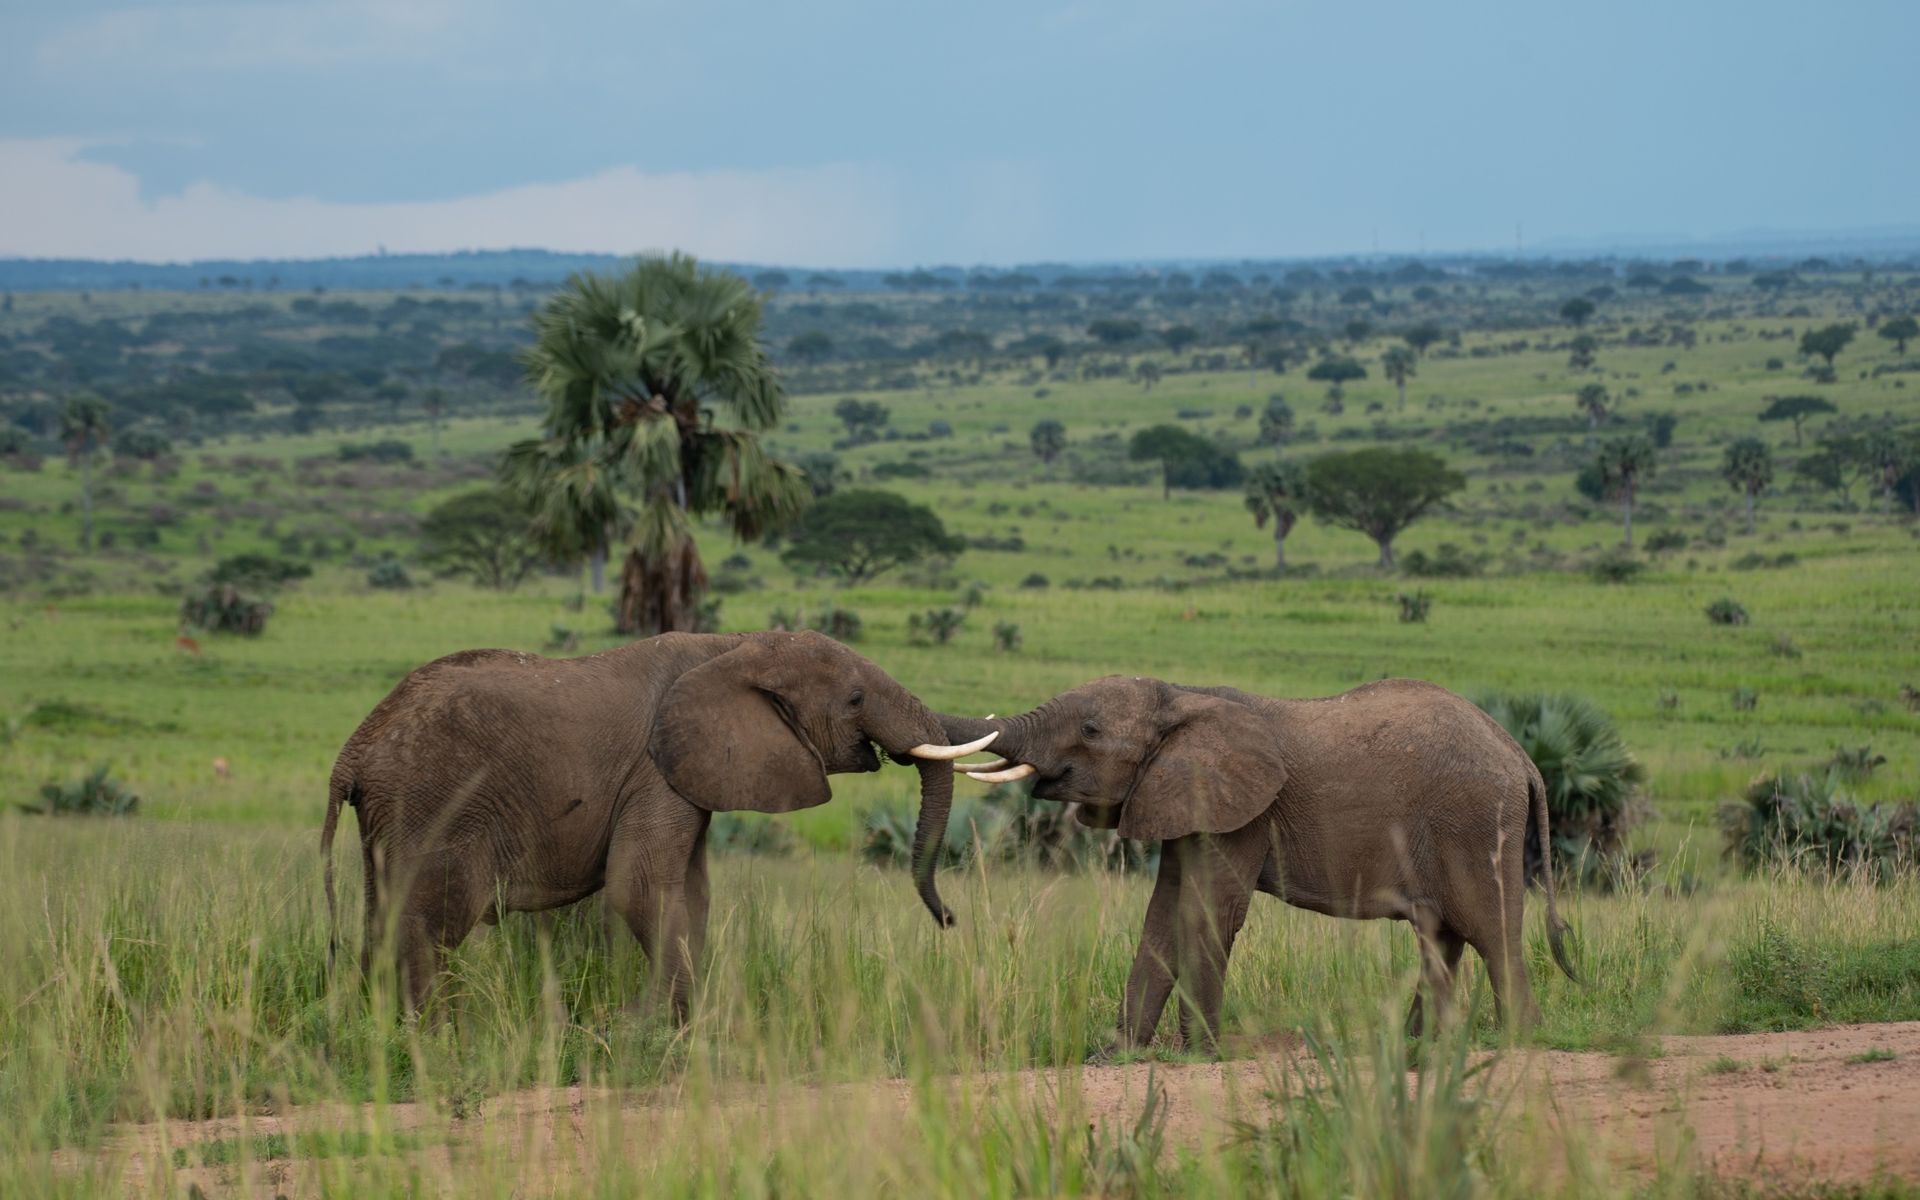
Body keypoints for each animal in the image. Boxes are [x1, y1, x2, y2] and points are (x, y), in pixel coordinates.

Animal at [321, 630, 994, 1015]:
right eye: (855, 699)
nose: (951, 919)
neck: (733, 643)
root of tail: (351, 752)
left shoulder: (683, 776)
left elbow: (691, 895)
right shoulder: (653, 771)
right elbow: (641, 888)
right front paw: (661, 1030)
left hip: (392, 817)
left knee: (382, 914)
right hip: (432, 805)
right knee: (430, 919)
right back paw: (430, 1038)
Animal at [936, 675, 1576, 1055]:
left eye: (1090, 730)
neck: (1182, 697)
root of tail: (1520, 753)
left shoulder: (1243, 812)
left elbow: (1207, 913)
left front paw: (1201, 1053)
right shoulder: (1183, 798)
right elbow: (1162, 916)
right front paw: (1120, 1052)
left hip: (1475, 821)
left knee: (1490, 932)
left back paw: (1516, 1040)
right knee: (1440, 936)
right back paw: (1422, 1046)